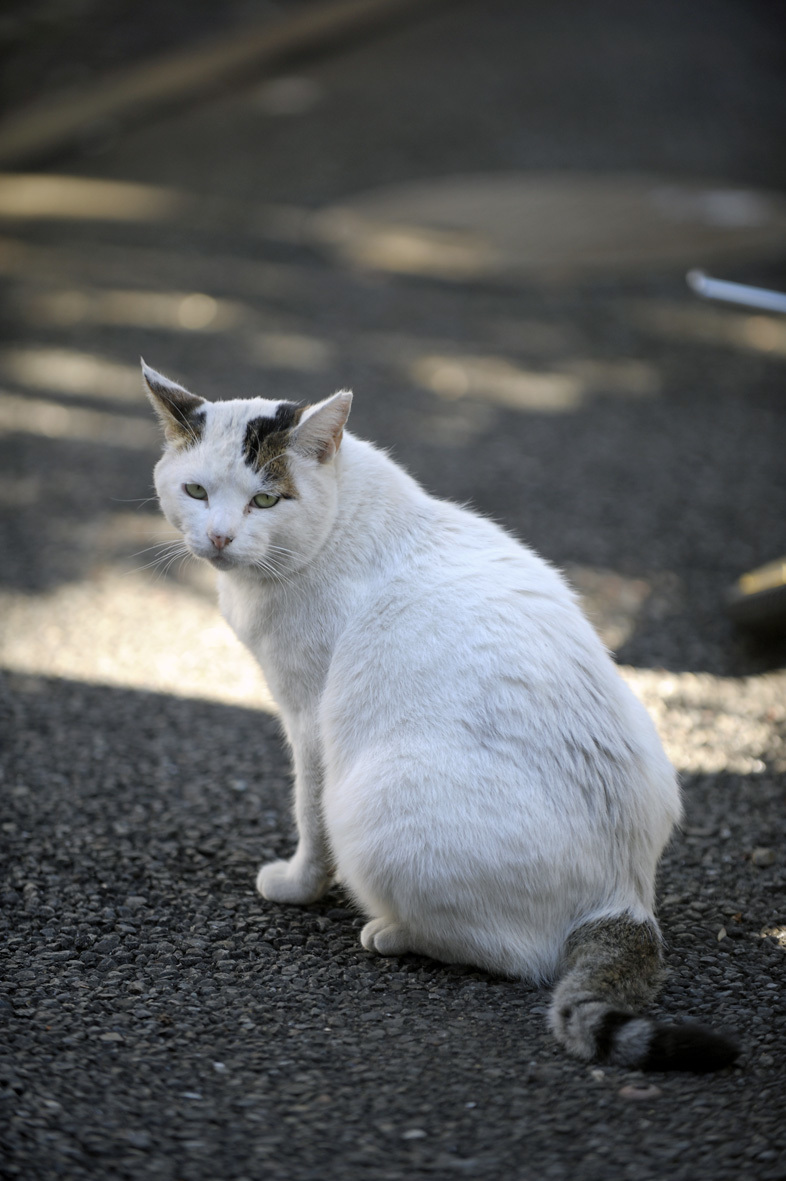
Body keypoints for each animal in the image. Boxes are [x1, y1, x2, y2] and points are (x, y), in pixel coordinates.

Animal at [143, 356, 736, 1072]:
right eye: (197, 492)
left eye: (266, 500)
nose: (221, 536)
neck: (338, 523)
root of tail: (627, 898)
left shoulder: (309, 722)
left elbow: (307, 818)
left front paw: (296, 886)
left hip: (374, 805)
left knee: (514, 956)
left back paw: (390, 932)